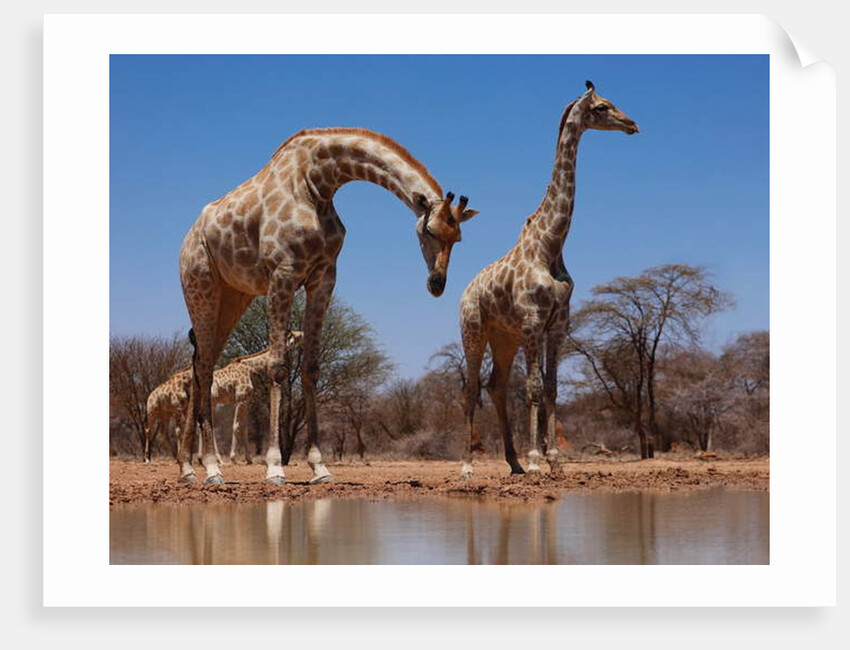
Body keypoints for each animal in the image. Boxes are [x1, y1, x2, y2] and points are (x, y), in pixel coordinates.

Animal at [179, 127, 478, 484]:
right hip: (201, 288)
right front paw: (275, 466)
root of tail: (187, 240)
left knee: (200, 364)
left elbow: (311, 368)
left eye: (458, 238)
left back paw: (188, 468)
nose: (437, 284)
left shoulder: (323, 278)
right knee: (204, 367)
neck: (317, 184)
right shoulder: (283, 274)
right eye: (429, 230)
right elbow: (278, 367)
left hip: (234, 297)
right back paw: (211, 468)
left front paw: (319, 466)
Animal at [459, 81, 638, 478]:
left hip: (504, 338)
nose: (632, 124)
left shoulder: (557, 324)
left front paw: (554, 458)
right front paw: (537, 458)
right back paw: (467, 466)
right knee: (470, 387)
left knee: (495, 385)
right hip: (473, 331)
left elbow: (553, 388)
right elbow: (534, 389)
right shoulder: (532, 321)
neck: (550, 244)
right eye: (602, 107)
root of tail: (464, 292)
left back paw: (513, 463)